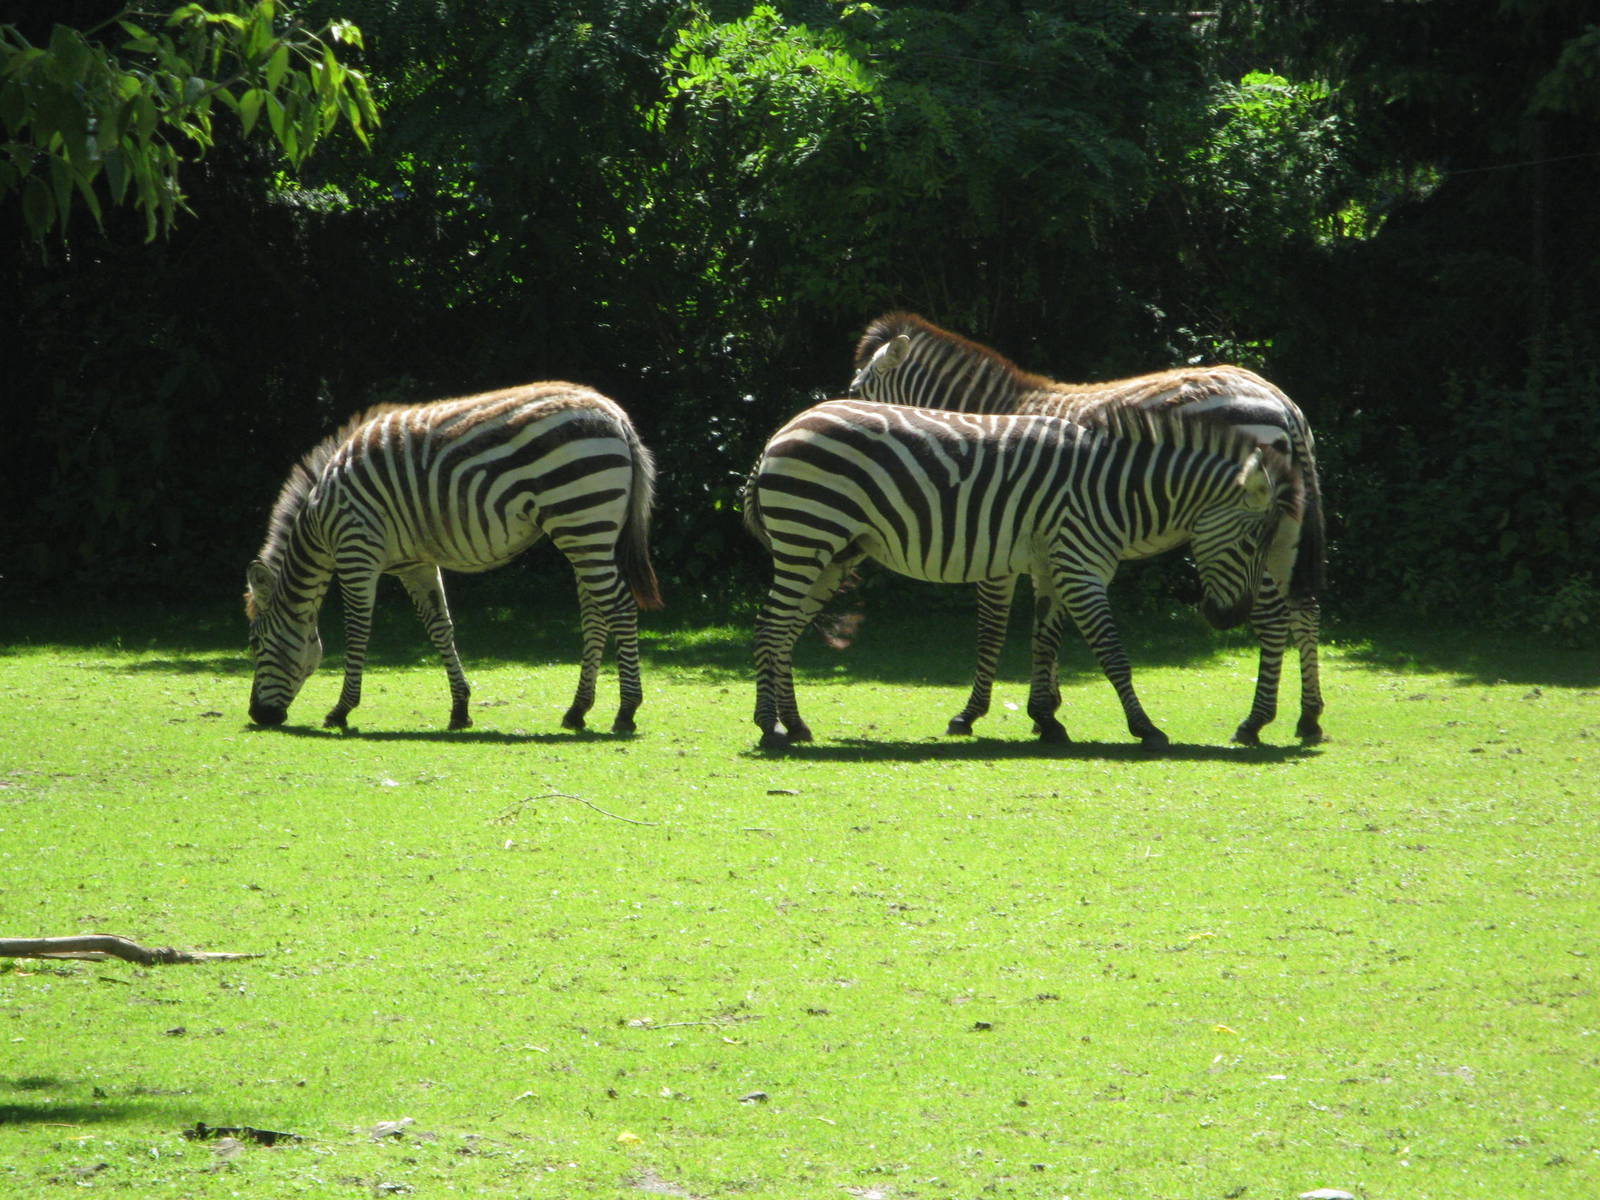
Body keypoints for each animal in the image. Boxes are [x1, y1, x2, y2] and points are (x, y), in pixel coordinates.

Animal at [245, 382, 662, 732]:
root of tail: (617, 416)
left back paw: (626, 711)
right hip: (590, 531)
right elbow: (440, 627)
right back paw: (577, 711)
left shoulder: (356, 551)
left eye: (254, 645)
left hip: (581, 517)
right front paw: (460, 709)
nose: (257, 715)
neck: (320, 520)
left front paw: (341, 710)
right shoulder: (414, 564)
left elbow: (357, 631)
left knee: (620, 608)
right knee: (596, 615)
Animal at [743, 398, 1303, 750]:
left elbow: (1044, 641)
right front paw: (1145, 728)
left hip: (832, 553)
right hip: (807, 536)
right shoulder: (1080, 565)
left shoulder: (1053, 565)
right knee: (770, 629)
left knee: (786, 633)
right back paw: (770, 727)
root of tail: (781, 433)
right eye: (1253, 542)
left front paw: (1046, 721)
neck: (1117, 490)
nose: (1229, 620)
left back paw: (795, 723)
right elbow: (1112, 653)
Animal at [850, 311, 1326, 744]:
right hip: (1286, 528)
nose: (845, 409)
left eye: (857, 389)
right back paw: (1309, 718)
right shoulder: (1044, 540)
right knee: (1304, 609)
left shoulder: (996, 543)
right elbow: (1048, 627)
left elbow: (993, 628)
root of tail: (1280, 399)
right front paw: (1046, 711)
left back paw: (1255, 721)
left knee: (1273, 616)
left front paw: (972, 714)